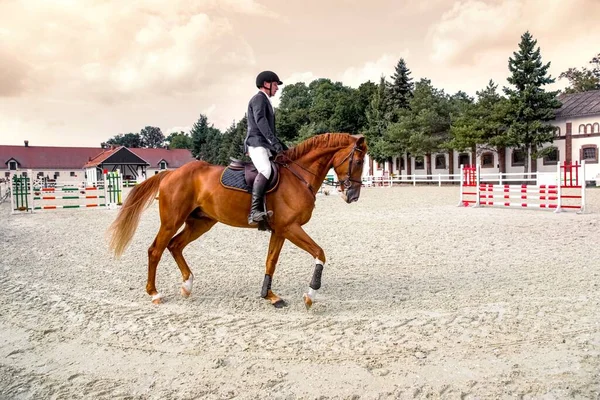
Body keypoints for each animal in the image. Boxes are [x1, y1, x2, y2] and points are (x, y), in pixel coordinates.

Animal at [108, 133, 368, 308]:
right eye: (358, 162)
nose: (353, 196)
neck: (299, 175)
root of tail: (170, 173)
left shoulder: (280, 230)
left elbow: (270, 261)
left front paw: (270, 296)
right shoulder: (290, 228)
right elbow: (320, 253)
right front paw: (310, 295)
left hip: (200, 222)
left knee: (175, 245)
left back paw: (187, 285)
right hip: (172, 221)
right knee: (156, 250)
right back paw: (154, 293)